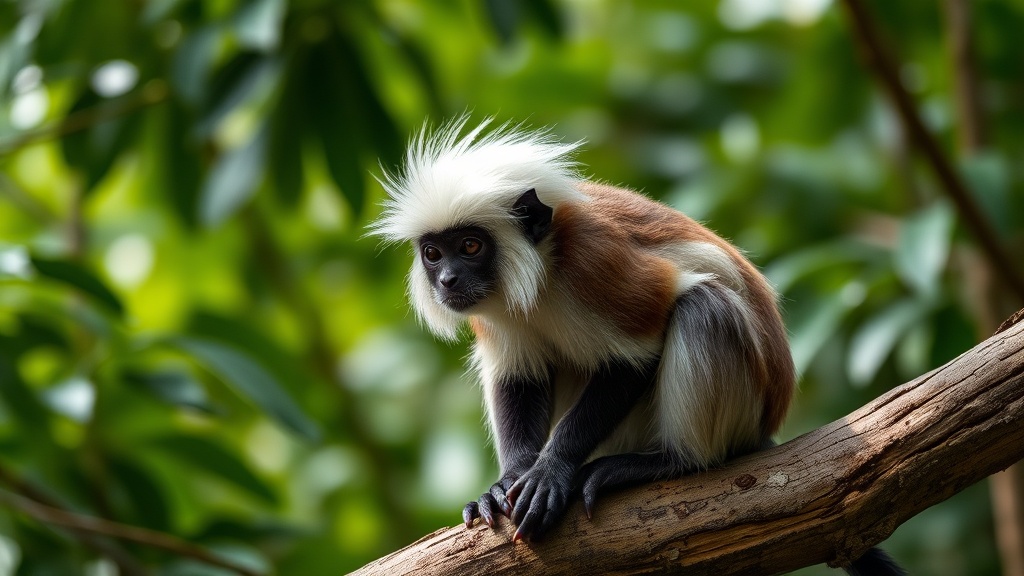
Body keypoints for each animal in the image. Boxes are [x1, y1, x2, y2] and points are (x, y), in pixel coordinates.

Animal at [371, 118, 905, 575]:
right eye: (433, 253)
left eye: (471, 246)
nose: (446, 281)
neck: (544, 274)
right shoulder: (497, 312)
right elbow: (517, 376)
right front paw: (506, 482)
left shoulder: (595, 262)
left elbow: (639, 351)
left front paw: (550, 471)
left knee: (702, 305)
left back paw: (669, 461)